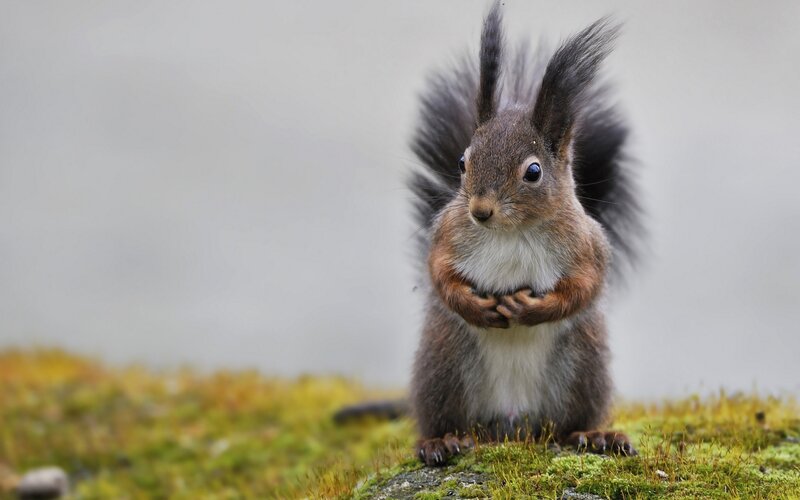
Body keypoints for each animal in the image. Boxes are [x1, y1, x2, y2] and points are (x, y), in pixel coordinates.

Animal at [407, 3, 643, 466]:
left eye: (533, 172)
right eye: (462, 162)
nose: (480, 211)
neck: (510, 231)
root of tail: (513, 425)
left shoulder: (586, 246)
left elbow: (585, 287)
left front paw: (532, 309)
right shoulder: (448, 234)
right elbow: (439, 273)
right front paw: (474, 305)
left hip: (582, 366)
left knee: (569, 424)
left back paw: (594, 435)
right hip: (444, 365)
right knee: (446, 418)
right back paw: (441, 441)